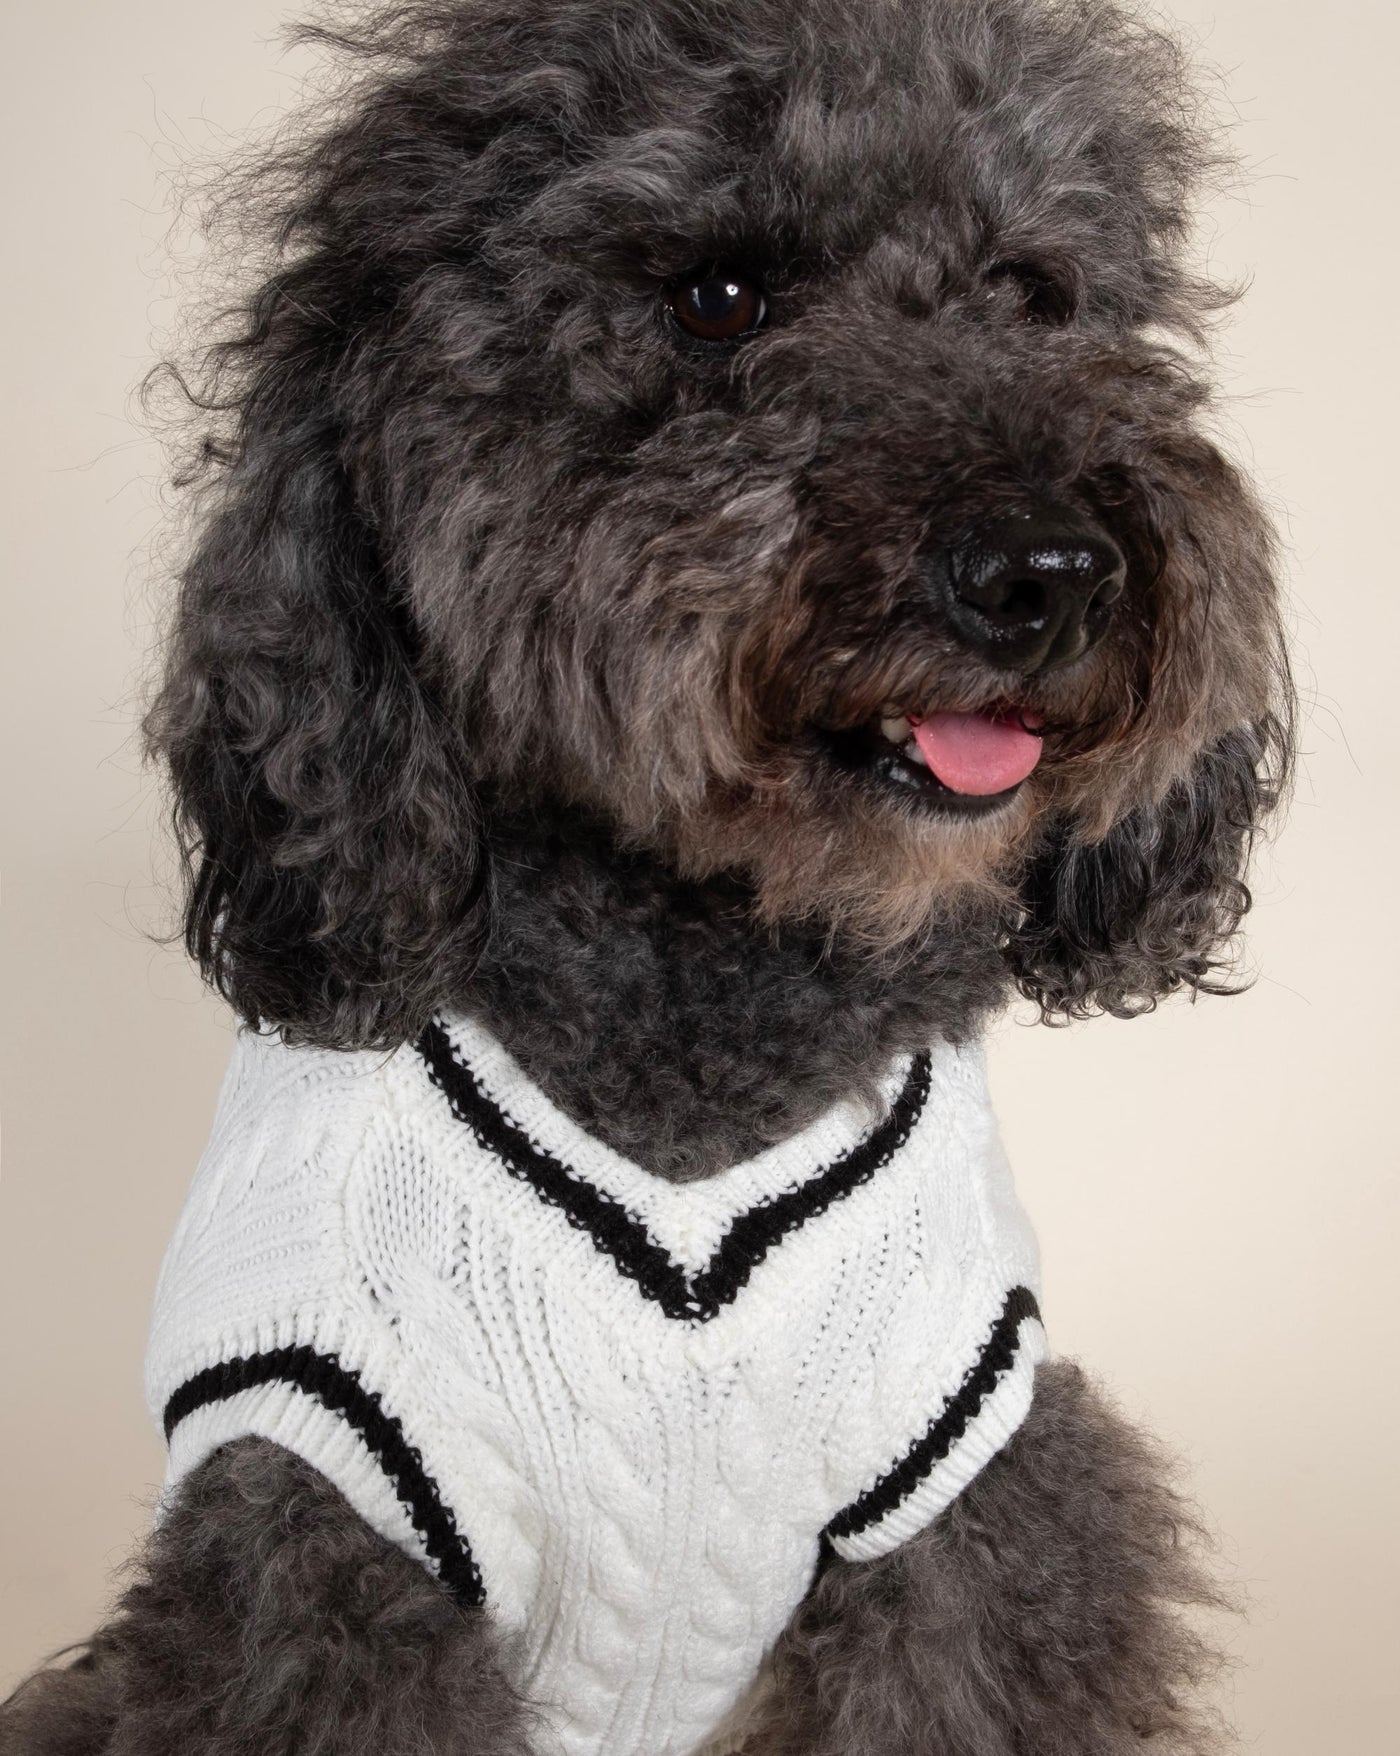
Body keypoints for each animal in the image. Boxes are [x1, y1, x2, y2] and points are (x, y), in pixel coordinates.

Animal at [0, 3, 1292, 1756]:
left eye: (1035, 290)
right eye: (717, 298)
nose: (1050, 569)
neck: (704, 1022)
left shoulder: (965, 1492)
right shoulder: (325, 1532)